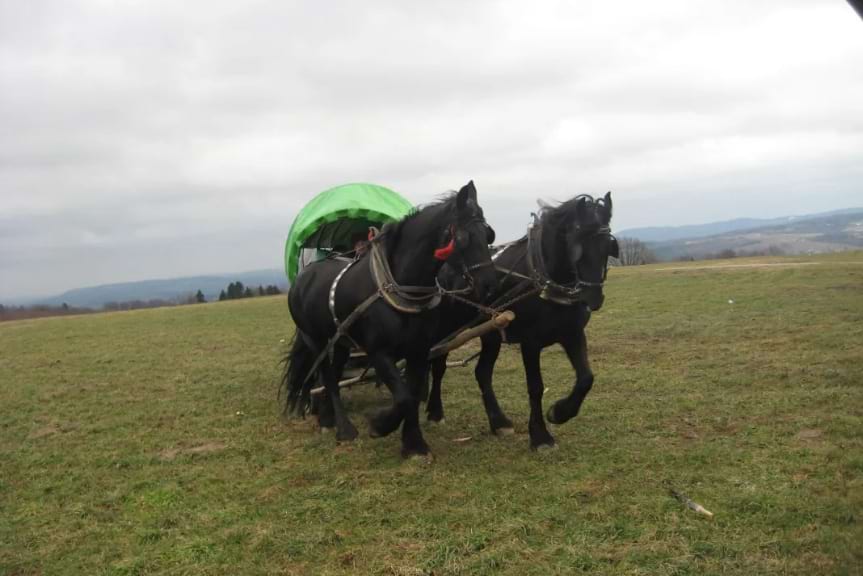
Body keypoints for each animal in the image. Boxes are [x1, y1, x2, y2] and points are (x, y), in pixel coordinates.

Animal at [284, 182, 496, 456]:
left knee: (336, 372)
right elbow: (403, 397)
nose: (490, 284)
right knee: (328, 378)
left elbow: (412, 394)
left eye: (488, 234)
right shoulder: (379, 353)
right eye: (462, 238)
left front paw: (414, 444)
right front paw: (380, 425)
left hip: (341, 341)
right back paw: (343, 428)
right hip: (316, 340)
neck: (400, 287)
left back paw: (327, 418)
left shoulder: (419, 350)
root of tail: (304, 277)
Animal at [426, 191, 616, 448]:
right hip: (447, 329)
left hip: (491, 333)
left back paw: (499, 422)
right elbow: (535, 387)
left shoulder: (573, 334)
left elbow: (586, 378)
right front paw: (540, 436)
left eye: (608, 245)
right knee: (438, 365)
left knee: (482, 373)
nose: (593, 297)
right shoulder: (530, 342)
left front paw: (559, 412)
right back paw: (435, 413)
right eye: (577, 243)